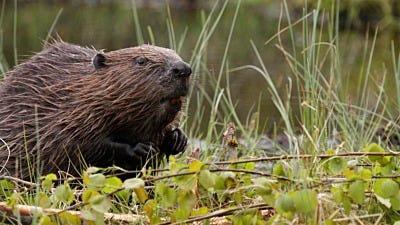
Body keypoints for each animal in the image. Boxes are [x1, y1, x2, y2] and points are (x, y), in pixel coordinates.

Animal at [0, 39, 192, 180]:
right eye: (141, 61)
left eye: (175, 54)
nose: (183, 69)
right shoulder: (66, 115)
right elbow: (81, 145)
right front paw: (140, 149)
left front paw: (178, 139)